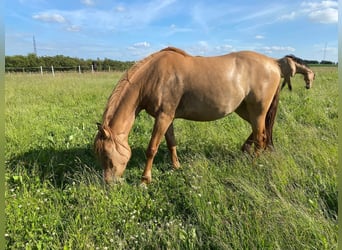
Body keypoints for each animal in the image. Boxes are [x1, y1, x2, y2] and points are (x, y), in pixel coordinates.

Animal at [94, 47, 284, 185]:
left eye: (106, 154)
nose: (108, 183)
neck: (153, 77)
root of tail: (273, 64)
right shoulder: (167, 117)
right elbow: (171, 143)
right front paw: (177, 167)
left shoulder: (163, 117)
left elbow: (152, 149)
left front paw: (144, 180)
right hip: (245, 110)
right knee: (262, 133)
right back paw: (246, 150)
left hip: (257, 111)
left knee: (260, 137)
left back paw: (253, 164)